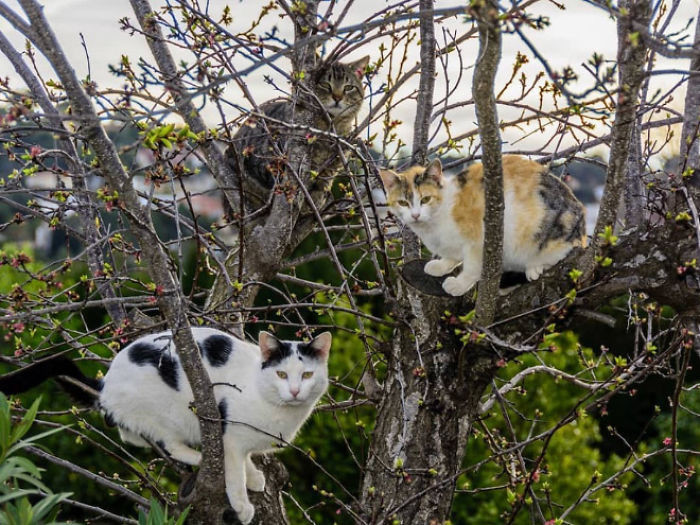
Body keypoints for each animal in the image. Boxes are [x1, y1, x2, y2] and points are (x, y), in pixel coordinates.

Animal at [0, 326, 332, 520]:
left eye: (307, 375)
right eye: (281, 374)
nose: (294, 391)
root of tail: (106, 385)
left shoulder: (241, 440)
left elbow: (245, 459)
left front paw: (254, 476)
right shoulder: (230, 432)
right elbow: (233, 470)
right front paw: (241, 503)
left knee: (130, 435)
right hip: (167, 412)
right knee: (162, 442)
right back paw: (198, 457)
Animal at [228, 54, 372, 207]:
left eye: (349, 87)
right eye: (325, 84)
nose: (337, 97)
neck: (330, 128)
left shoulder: (331, 169)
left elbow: (320, 189)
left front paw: (314, 202)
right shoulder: (264, 163)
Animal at [380, 155, 588, 294]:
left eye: (425, 199)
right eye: (403, 203)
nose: (415, 215)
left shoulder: (479, 241)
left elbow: (472, 267)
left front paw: (459, 285)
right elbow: (452, 256)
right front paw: (441, 266)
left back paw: (534, 267)